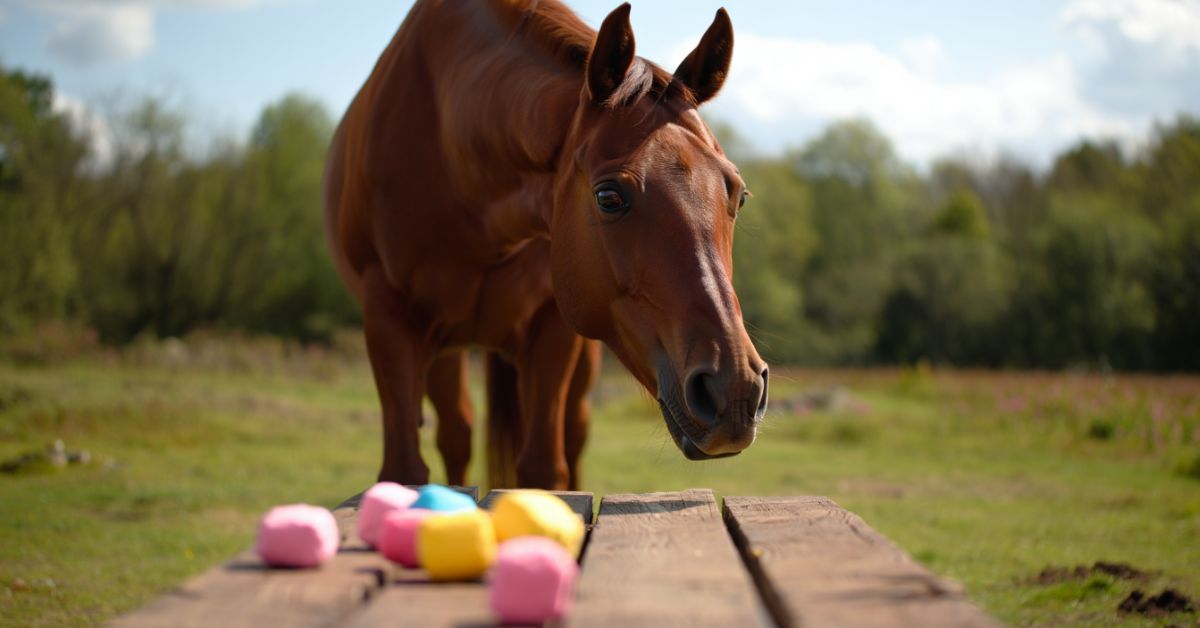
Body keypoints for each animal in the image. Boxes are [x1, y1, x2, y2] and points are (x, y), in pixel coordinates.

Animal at [323, 0, 769, 489]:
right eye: (608, 197)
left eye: (738, 195)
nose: (735, 389)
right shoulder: (389, 320)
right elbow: (404, 470)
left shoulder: (554, 328)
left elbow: (543, 468)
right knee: (456, 435)